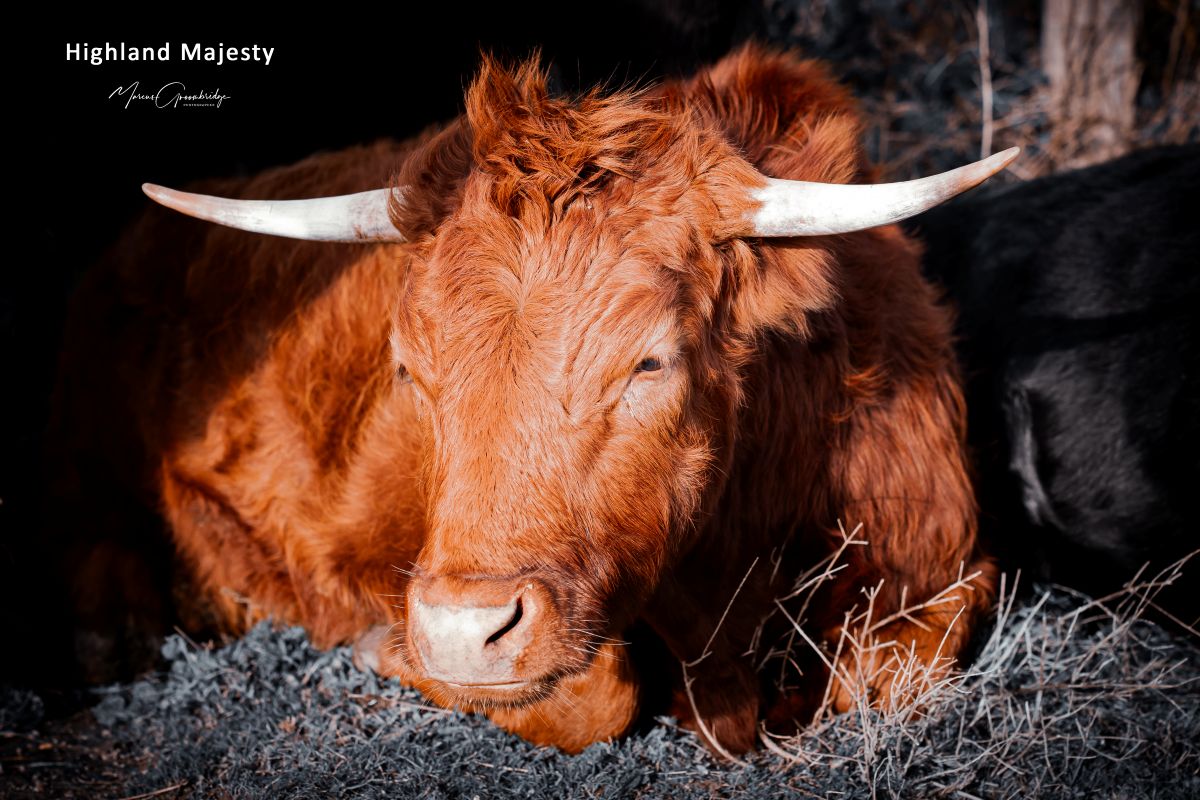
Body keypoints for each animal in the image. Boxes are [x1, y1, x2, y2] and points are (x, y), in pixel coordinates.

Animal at [48, 45, 1013, 754]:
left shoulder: (941, 560)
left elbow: (882, 682)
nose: (460, 631)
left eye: (649, 363)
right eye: (412, 369)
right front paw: (385, 648)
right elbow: (596, 697)